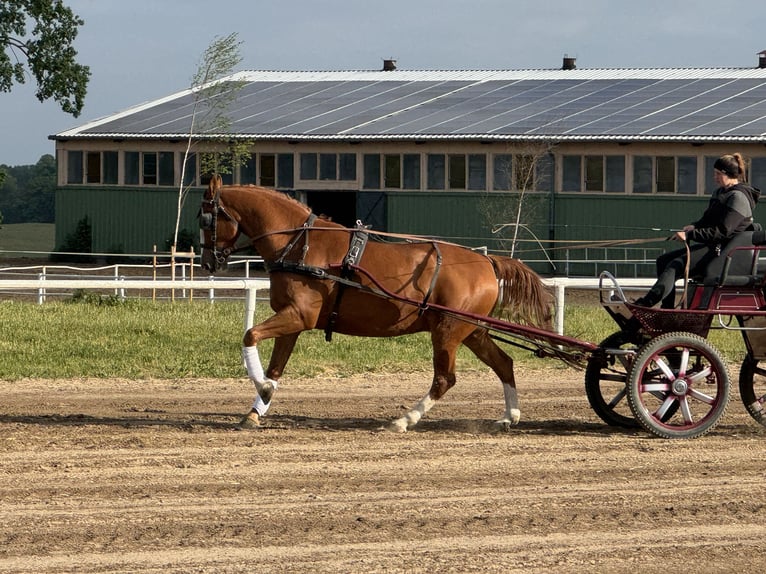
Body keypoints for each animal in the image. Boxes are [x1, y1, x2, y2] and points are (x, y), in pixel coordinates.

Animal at [199, 175, 553, 432]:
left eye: (205, 219)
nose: (208, 263)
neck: (299, 243)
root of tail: (487, 262)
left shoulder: (299, 315)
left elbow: (250, 336)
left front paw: (263, 389)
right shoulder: (293, 321)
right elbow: (275, 366)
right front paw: (256, 409)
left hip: (448, 330)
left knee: (444, 379)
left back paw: (404, 420)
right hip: (472, 330)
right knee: (503, 363)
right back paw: (509, 416)